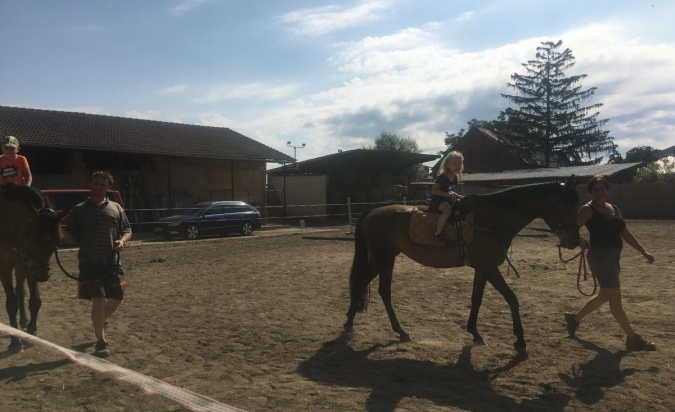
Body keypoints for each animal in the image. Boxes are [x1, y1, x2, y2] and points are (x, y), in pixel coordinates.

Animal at [0, 185, 68, 350]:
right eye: (35, 240)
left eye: (57, 240)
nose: (43, 275)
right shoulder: (5, 266)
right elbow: (11, 303)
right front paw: (15, 341)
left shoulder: (29, 265)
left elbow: (35, 300)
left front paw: (32, 331)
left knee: (20, 291)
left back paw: (24, 321)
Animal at [344, 175, 580, 354]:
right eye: (563, 204)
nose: (575, 241)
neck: (491, 220)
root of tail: (372, 212)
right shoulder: (490, 268)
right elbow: (512, 299)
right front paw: (520, 341)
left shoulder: (482, 269)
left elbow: (477, 299)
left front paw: (475, 333)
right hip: (384, 258)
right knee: (382, 289)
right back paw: (397, 330)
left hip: (383, 258)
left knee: (364, 284)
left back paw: (351, 323)